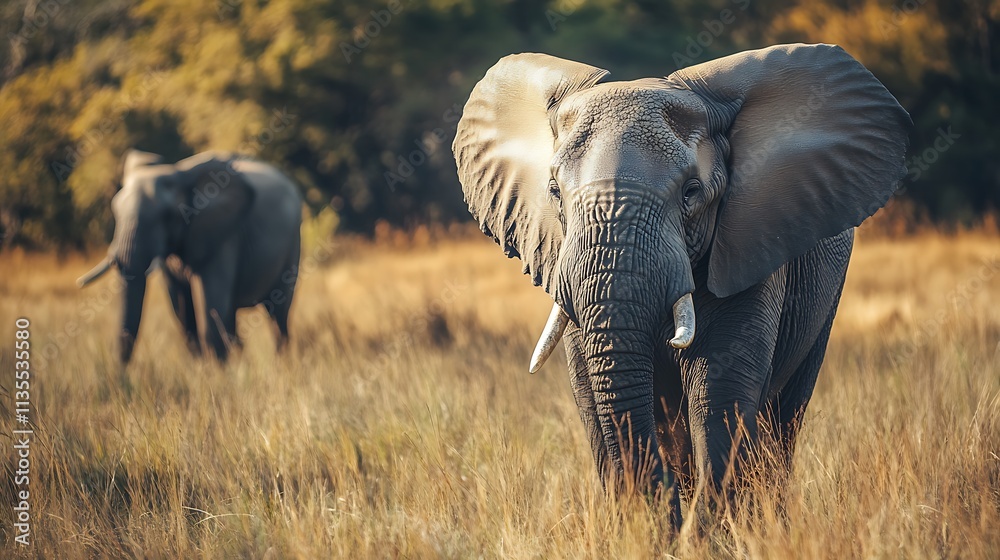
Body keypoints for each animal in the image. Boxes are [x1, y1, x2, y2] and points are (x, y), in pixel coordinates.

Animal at [77, 149, 303, 363]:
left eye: (166, 215)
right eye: (115, 211)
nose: (121, 372)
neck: (179, 173)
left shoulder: (223, 234)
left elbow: (211, 307)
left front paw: (218, 372)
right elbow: (183, 310)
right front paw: (202, 368)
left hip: (292, 245)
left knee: (278, 313)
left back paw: (281, 363)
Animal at [452, 44, 909, 526]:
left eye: (691, 192)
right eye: (555, 191)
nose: (662, 508)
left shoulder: (750, 247)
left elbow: (719, 387)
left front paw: (708, 530)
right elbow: (590, 393)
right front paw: (645, 527)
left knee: (783, 418)